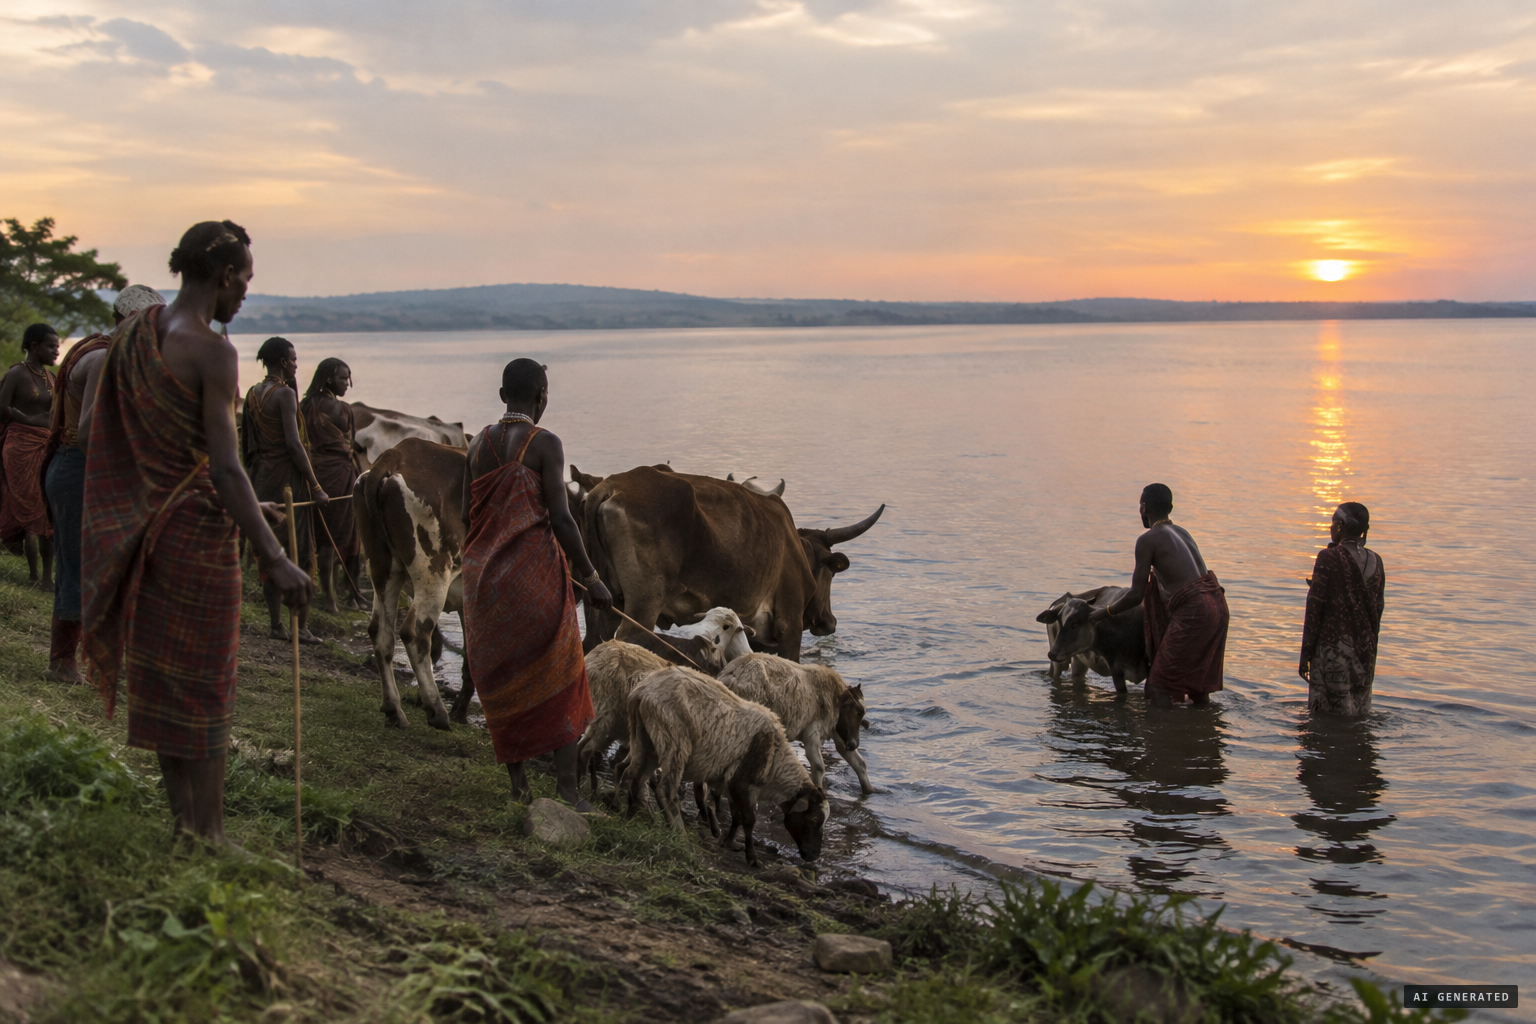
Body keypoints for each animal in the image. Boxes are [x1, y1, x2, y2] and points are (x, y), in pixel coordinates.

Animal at [354, 437, 473, 730]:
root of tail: (397, 453)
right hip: (433, 573)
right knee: (415, 632)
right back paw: (437, 710)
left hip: (383, 569)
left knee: (380, 631)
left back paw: (394, 709)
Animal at [571, 464, 883, 662]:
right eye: (830, 573)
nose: (830, 621)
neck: (794, 544)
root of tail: (608, 488)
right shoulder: (789, 624)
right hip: (643, 604)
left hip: (603, 602)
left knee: (592, 644)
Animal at [625, 666, 828, 867]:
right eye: (814, 820)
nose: (814, 855)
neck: (775, 762)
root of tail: (642, 692)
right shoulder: (741, 782)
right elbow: (749, 820)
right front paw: (752, 858)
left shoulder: (734, 785)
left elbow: (737, 816)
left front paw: (729, 842)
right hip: (673, 742)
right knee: (666, 791)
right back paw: (679, 834)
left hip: (644, 739)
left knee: (633, 775)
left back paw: (630, 816)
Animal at [716, 653, 872, 796]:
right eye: (859, 713)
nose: (854, 744)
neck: (835, 698)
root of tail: (729, 676)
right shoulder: (813, 732)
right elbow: (818, 766)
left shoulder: (838, 731)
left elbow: (859, 763)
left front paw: (869, 791)